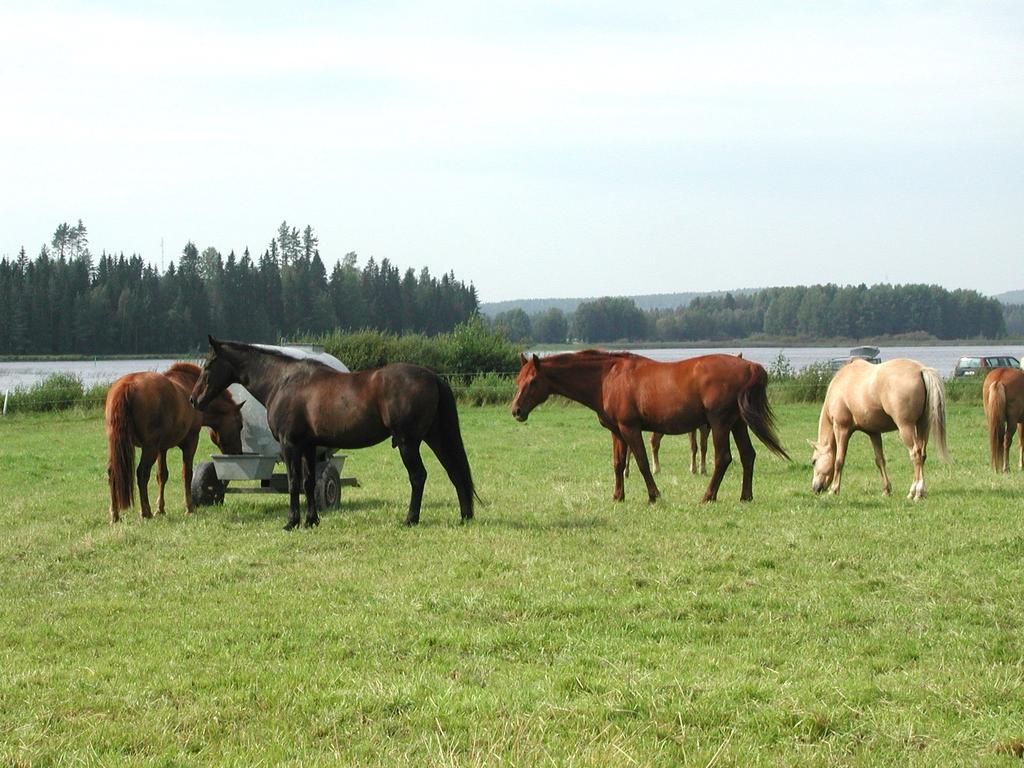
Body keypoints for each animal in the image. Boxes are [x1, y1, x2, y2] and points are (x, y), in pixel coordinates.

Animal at [104, 364, 242, 524]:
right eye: (239, 425)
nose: (239, 452)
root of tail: (127, 385)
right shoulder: (191, 442)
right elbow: (187, 474)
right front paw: (189, 508)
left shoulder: (161, 449)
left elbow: (162, 476)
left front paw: (160, 509)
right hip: (149, 448)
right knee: (142, 473)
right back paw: (145, 512)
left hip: (118, 446)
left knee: (112, 472)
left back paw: (115, 514)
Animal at [188, 335, 475, 528]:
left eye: (208, 365)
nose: (193, 399)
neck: (282, 381)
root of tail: (432, 376)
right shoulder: (309, 445)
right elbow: (308, 482)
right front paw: (311, 521)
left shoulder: (290, 444)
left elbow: (293, 482)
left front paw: (292, 521)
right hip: (435, 438)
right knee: (455, 472)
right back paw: (465, 516)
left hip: (408, 442)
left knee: (418, 477)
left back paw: (410, 519)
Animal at [512, 350, 790, 505]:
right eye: (518, 380)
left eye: (533, 381)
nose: (516, 411)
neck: (607, 377)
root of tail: (749, 366)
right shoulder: (616, 431)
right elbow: (618, 464)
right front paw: (618, 496)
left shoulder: (630, 428)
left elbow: (643, 462)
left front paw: (654, 495)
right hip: (737, 423)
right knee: (748, 456)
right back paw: (745, 496)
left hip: (719, 423)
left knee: (723, 458)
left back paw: (707, 496)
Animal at [811, 360, 946, 499]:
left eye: (814, 461)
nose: (815, 488)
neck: (840, 384)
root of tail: (921, 369)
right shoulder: (874, 433)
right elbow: (880, 460)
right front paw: (886, 490)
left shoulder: (841, 429)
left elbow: (839, 460)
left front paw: (834, 490)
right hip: (922, 425)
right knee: (922, 454)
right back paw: (916, 492)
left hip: (906, 427)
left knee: (916, 454)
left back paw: (917, 492)